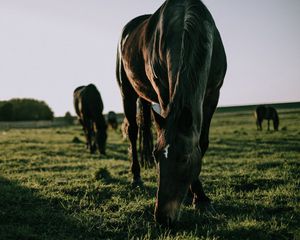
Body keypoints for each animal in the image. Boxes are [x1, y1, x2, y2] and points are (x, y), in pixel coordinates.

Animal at [116, 0, 226, 226]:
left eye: (184, 158)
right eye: (157, 156)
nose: (162, 218)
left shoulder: (213, 95)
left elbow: (202, 143)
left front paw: (199, 197)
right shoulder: (164, 91)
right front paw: (198, 196)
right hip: (127, 92)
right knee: (132, 131)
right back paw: (136, 177)